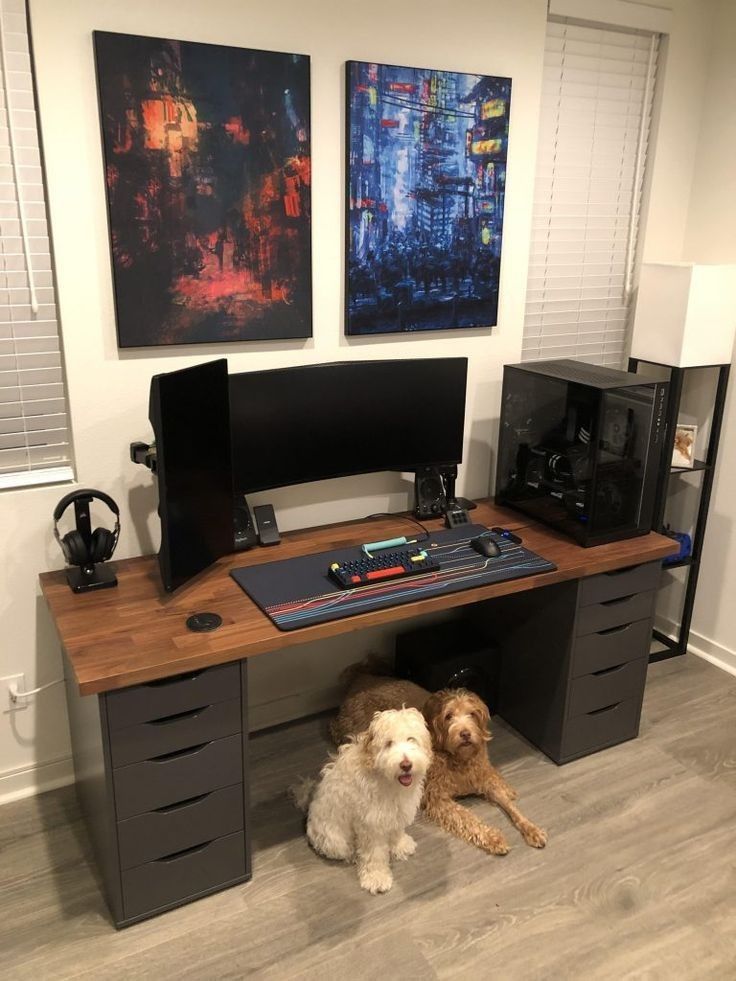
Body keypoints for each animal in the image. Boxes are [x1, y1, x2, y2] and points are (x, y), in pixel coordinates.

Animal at [294, 708, 432, 892]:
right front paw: (377, 877)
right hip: (335, 840)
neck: (387, 779)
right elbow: (374, 854)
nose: (406, 764)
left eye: (411, 739)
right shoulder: (371, 824)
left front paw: (400, 845)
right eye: (388, 743)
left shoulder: (396, 812)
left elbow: (396, 831)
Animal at [330, 664, 548, 852]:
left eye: (472, 714)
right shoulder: (438, 797)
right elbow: (467, 818)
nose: (465, 734)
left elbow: (510, 805)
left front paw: (531, 828)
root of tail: (360, 679)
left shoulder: (484, 778)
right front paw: (493, 837)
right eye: (448, 716)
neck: (459, 760)